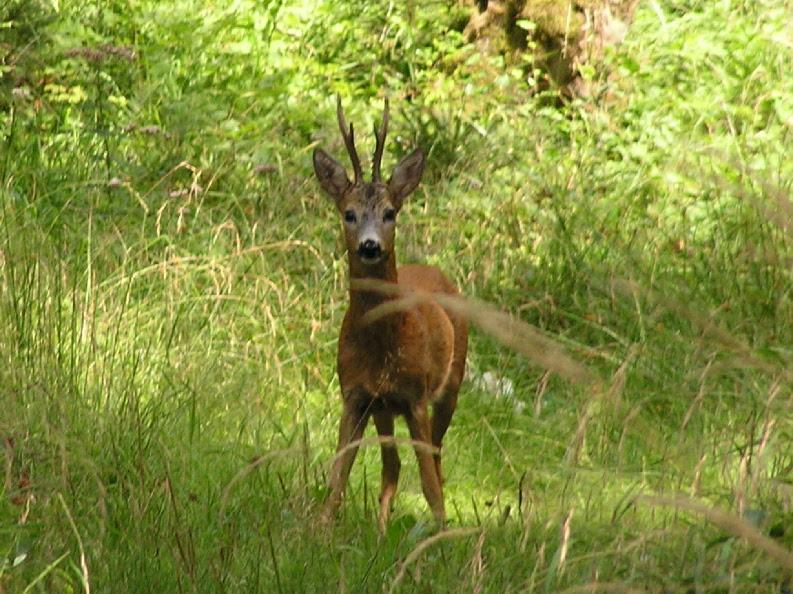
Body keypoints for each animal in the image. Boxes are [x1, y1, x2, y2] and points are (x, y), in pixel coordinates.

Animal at [312, 97, 468, 528]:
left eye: (390, 212)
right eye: (348, 213)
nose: (369, 245)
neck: (381, 346)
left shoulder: (415, 397)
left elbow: (430, 486)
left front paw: (440, 532)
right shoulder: (355, 395)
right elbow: (336, 480)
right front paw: (320, 530)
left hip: (451, 385)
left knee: (436, 460)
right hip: (383, 409)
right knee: (392, 466)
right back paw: (382, 530)